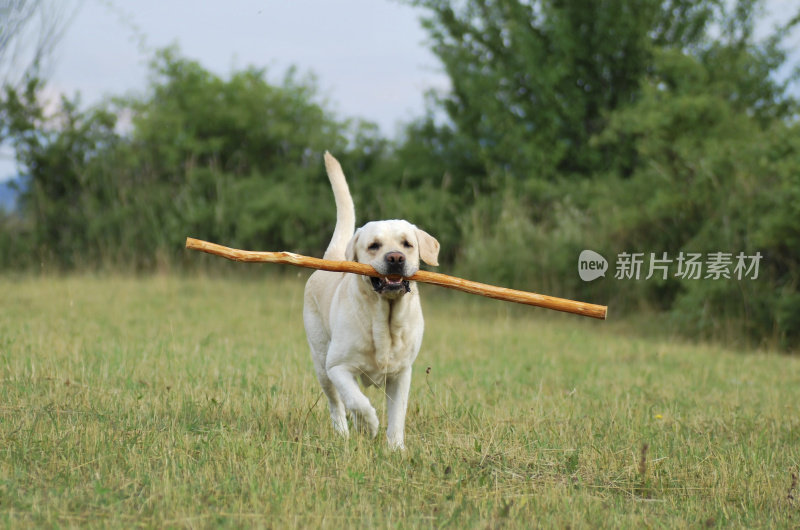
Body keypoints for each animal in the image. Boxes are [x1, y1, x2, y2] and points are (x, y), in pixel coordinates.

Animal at [304, 151, 440, 448]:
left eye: (407, 244)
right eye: (374, 246)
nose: (395, 258)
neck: (385, 318)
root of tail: (332, 257)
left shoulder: (402, 374)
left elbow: (397, 414)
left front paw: (396, 448)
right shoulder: (338, 367)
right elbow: (358, 402)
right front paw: (370, 425)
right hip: (321, 364)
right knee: (337, 403)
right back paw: (344, 432)